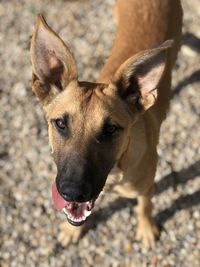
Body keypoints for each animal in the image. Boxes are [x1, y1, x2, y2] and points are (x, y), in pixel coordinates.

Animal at [30, 0, 182, 249]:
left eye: (111, 129)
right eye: (60, 123)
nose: (72, 192)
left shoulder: (147, 186)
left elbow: (144, 206)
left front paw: (146, 229)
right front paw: (71, 231)